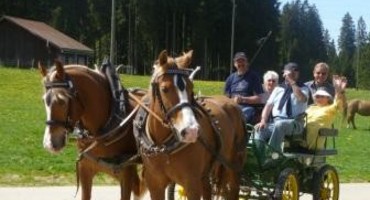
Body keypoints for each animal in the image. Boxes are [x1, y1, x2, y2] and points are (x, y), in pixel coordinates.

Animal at [133, 50, 246, 200]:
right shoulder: (155, 185)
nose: (191, 131)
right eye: (164, 89)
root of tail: (232, 102)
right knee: (208, 188)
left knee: (233, 189)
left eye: (191, 86)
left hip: (233, 163)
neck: (163, 147)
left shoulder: (192, 184)